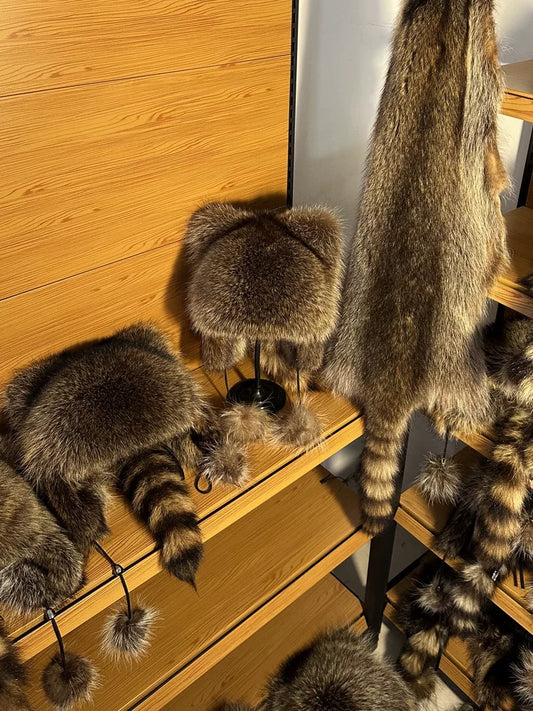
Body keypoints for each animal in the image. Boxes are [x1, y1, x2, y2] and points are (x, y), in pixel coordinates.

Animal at [321, 0, 508, 535]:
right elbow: (489, 150)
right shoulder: (480, 54)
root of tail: (391, 380)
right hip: (457, 360)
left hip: (347, 347)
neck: (442, 12)